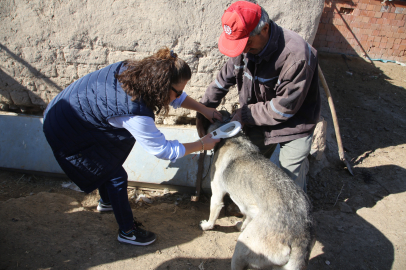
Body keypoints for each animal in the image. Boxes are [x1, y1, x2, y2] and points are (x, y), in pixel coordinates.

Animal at [201, 110, 316, 268]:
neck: (233, 137)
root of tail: (301, 235)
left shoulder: (217, 195)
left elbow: (213, 215)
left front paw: (207, 226)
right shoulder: (249, 206)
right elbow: (246, 217)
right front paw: (240, 225)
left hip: (241, 248)